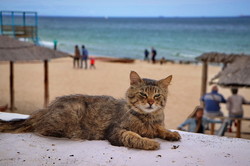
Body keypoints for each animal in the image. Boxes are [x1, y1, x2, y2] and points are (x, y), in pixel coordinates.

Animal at [0, 71, 181, 150]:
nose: (150, 102)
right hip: (73, 112)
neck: (147, 118)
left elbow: (161, 128)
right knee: (41, 129)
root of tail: (45, 109)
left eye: (157, 96)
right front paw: (150, 142)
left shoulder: (156, 125)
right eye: (143, 94)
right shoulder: (116, 131)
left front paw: (171, 134)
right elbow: (134, 137)